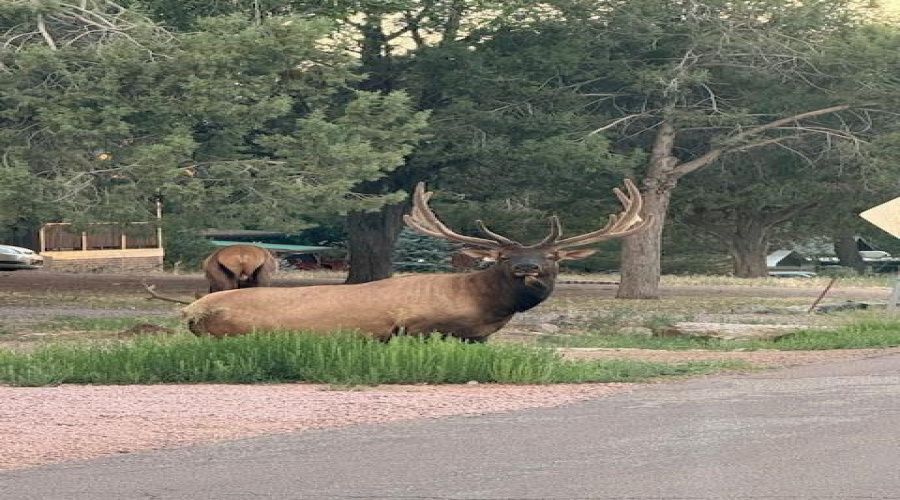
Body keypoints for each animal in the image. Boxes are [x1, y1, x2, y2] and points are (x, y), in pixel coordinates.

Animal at [183, 179, 652, 340]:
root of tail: (190, 312)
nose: (527, 266)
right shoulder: (421, 325)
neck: (485, 308)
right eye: (503, 255)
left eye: (553, 254)